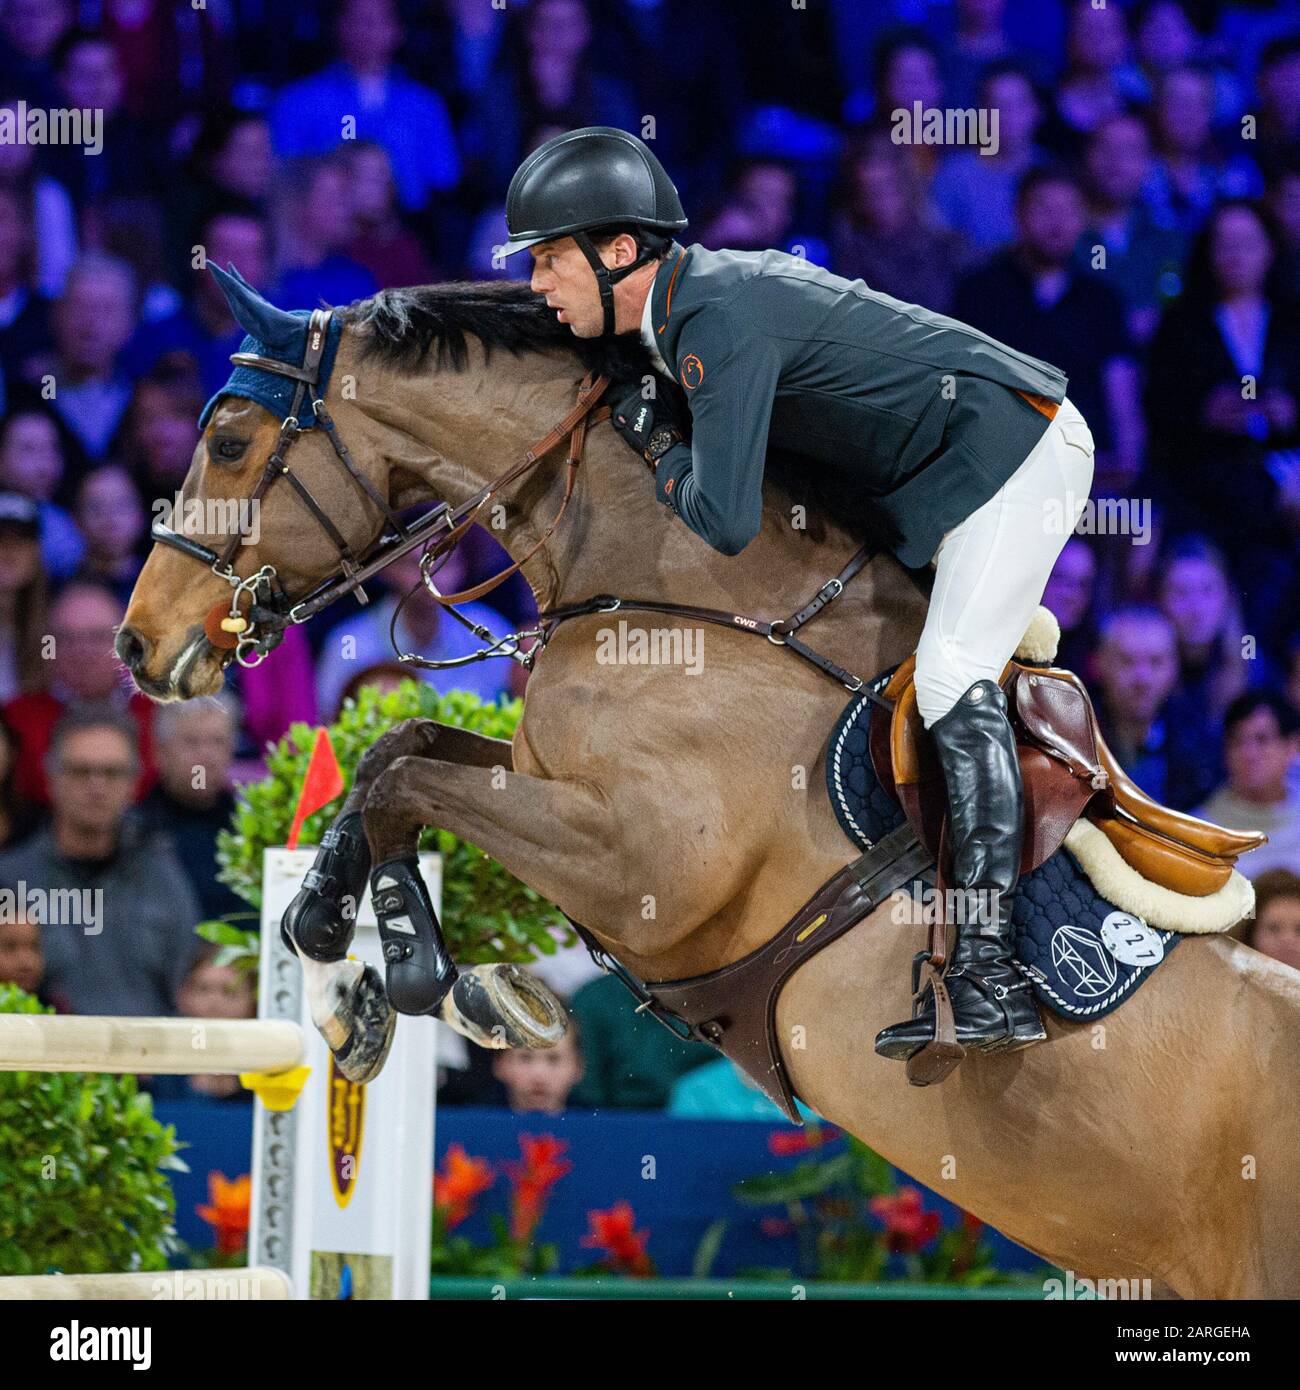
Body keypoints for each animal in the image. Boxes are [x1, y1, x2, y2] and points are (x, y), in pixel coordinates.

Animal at [122, 276, 1300, 1295]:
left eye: (229, 442)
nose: (140, 645)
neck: (678, 601)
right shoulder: (550, 781)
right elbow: (392, 753)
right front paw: (342, 952)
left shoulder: (641, 866)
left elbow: (408, 779)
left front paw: (421, 973)